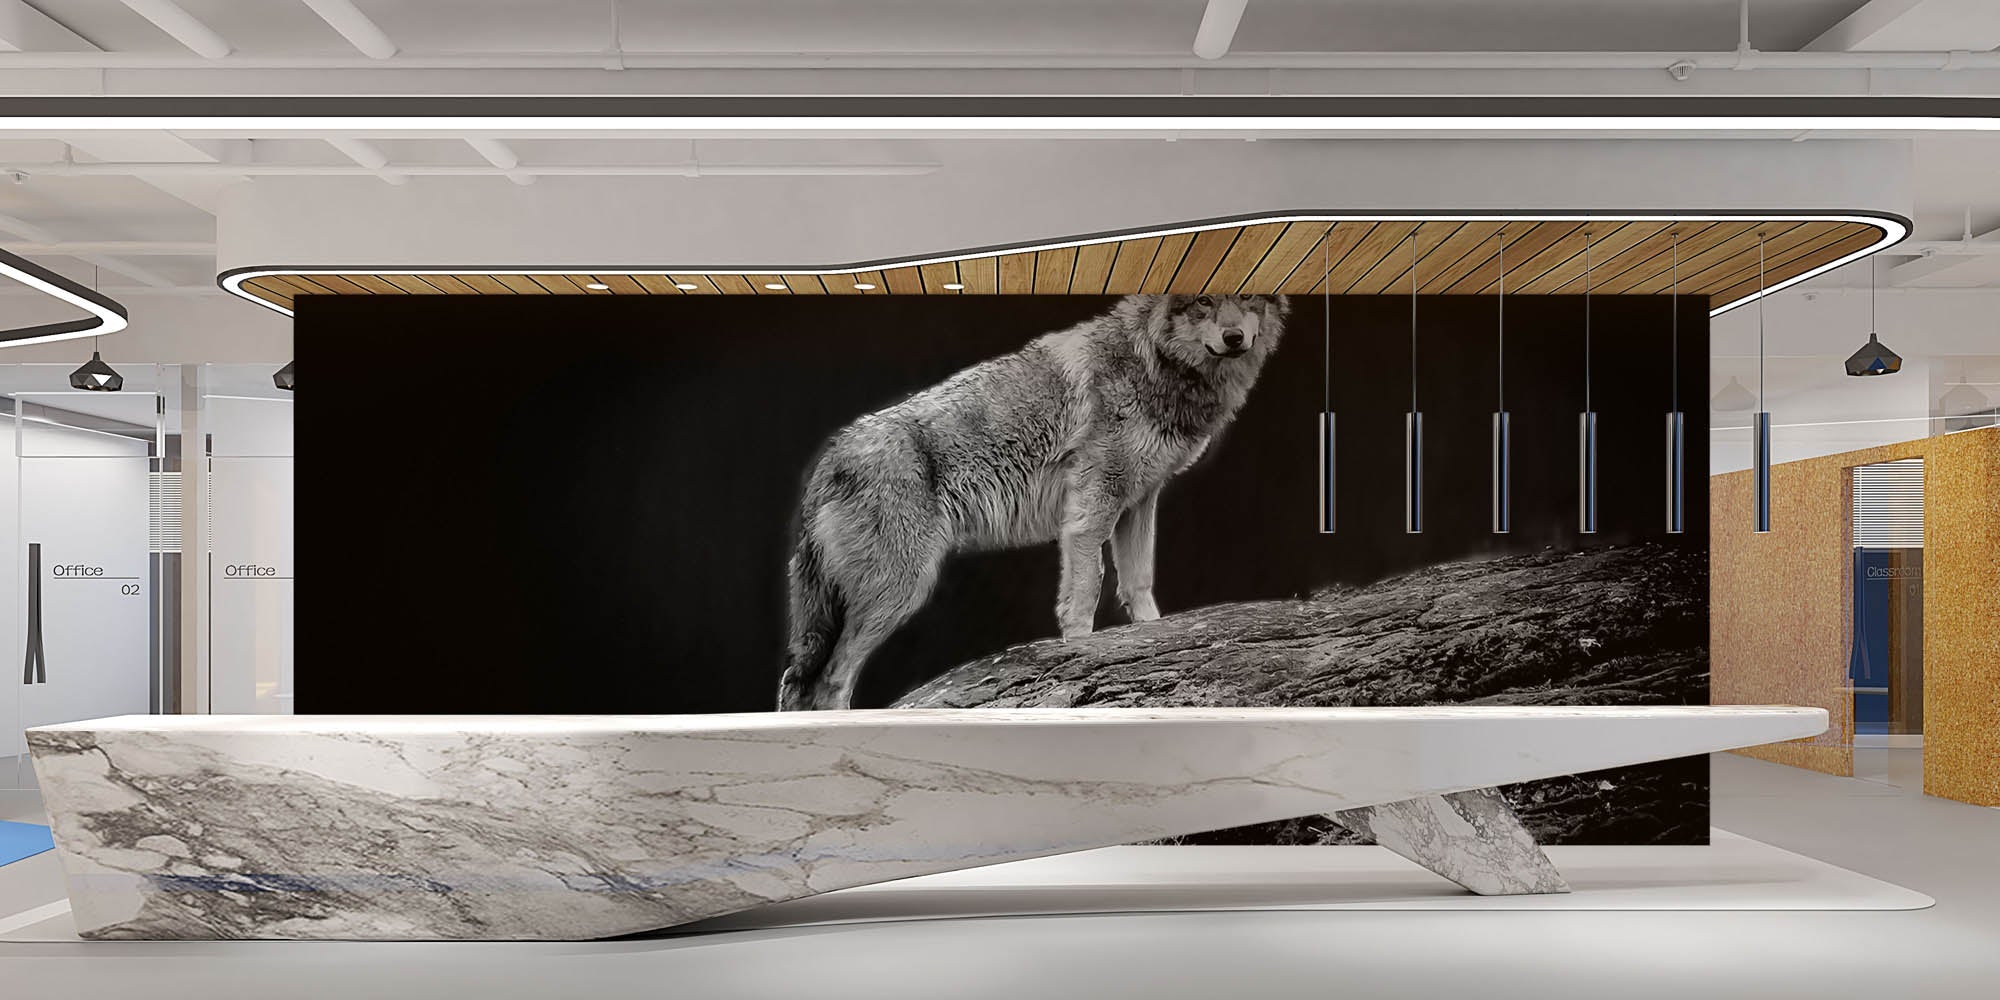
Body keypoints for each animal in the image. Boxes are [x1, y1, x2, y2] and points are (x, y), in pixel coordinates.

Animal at [778, 293, 1288, 711]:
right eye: (1203, 301)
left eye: (1247, 297)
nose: (1234, 338)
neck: (1152, 361)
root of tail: (829, 458)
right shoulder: (1091, 510)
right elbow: (1086, 592)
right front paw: (1082, 656)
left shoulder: (1140, 501)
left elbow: (1139, 583)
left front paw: (1153, 639)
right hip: (901, 590)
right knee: (829, 680)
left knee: (795, 682)